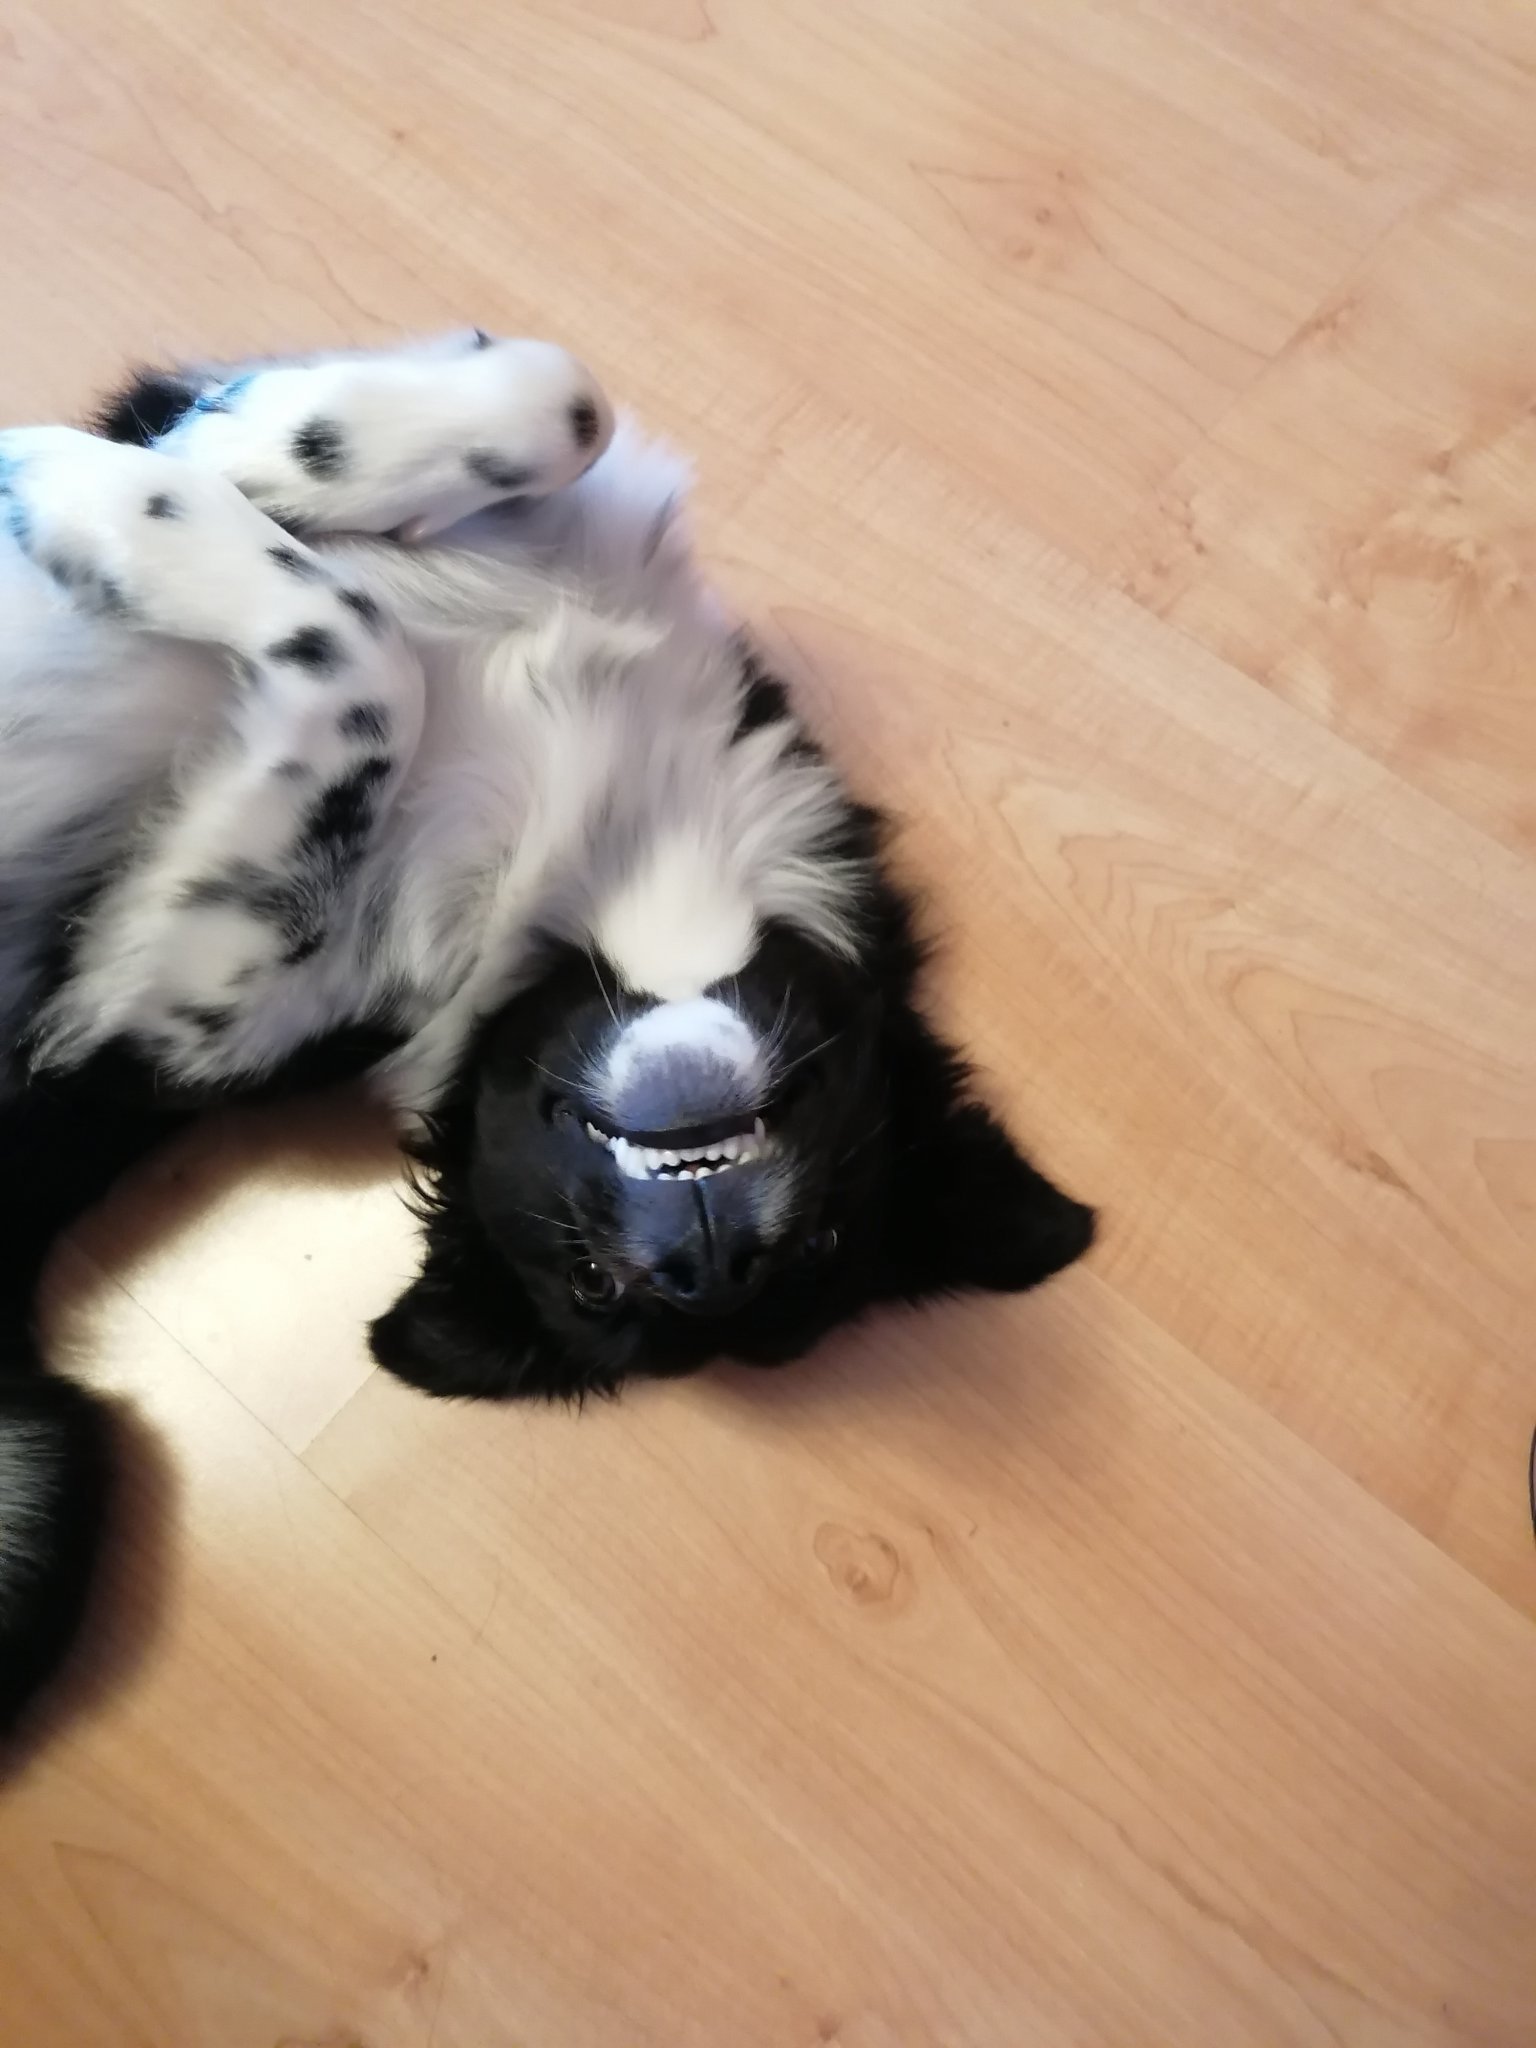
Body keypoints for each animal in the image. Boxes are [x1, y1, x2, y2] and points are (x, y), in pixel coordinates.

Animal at [0, 331, 1094, 1730]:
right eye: (592, 1278)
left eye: (822, 1246)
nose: (703, 1262)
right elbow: (559, 397)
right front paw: (224, 458)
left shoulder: (161, 1022)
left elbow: (359, 662)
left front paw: (116, 512)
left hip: (51, 1483)